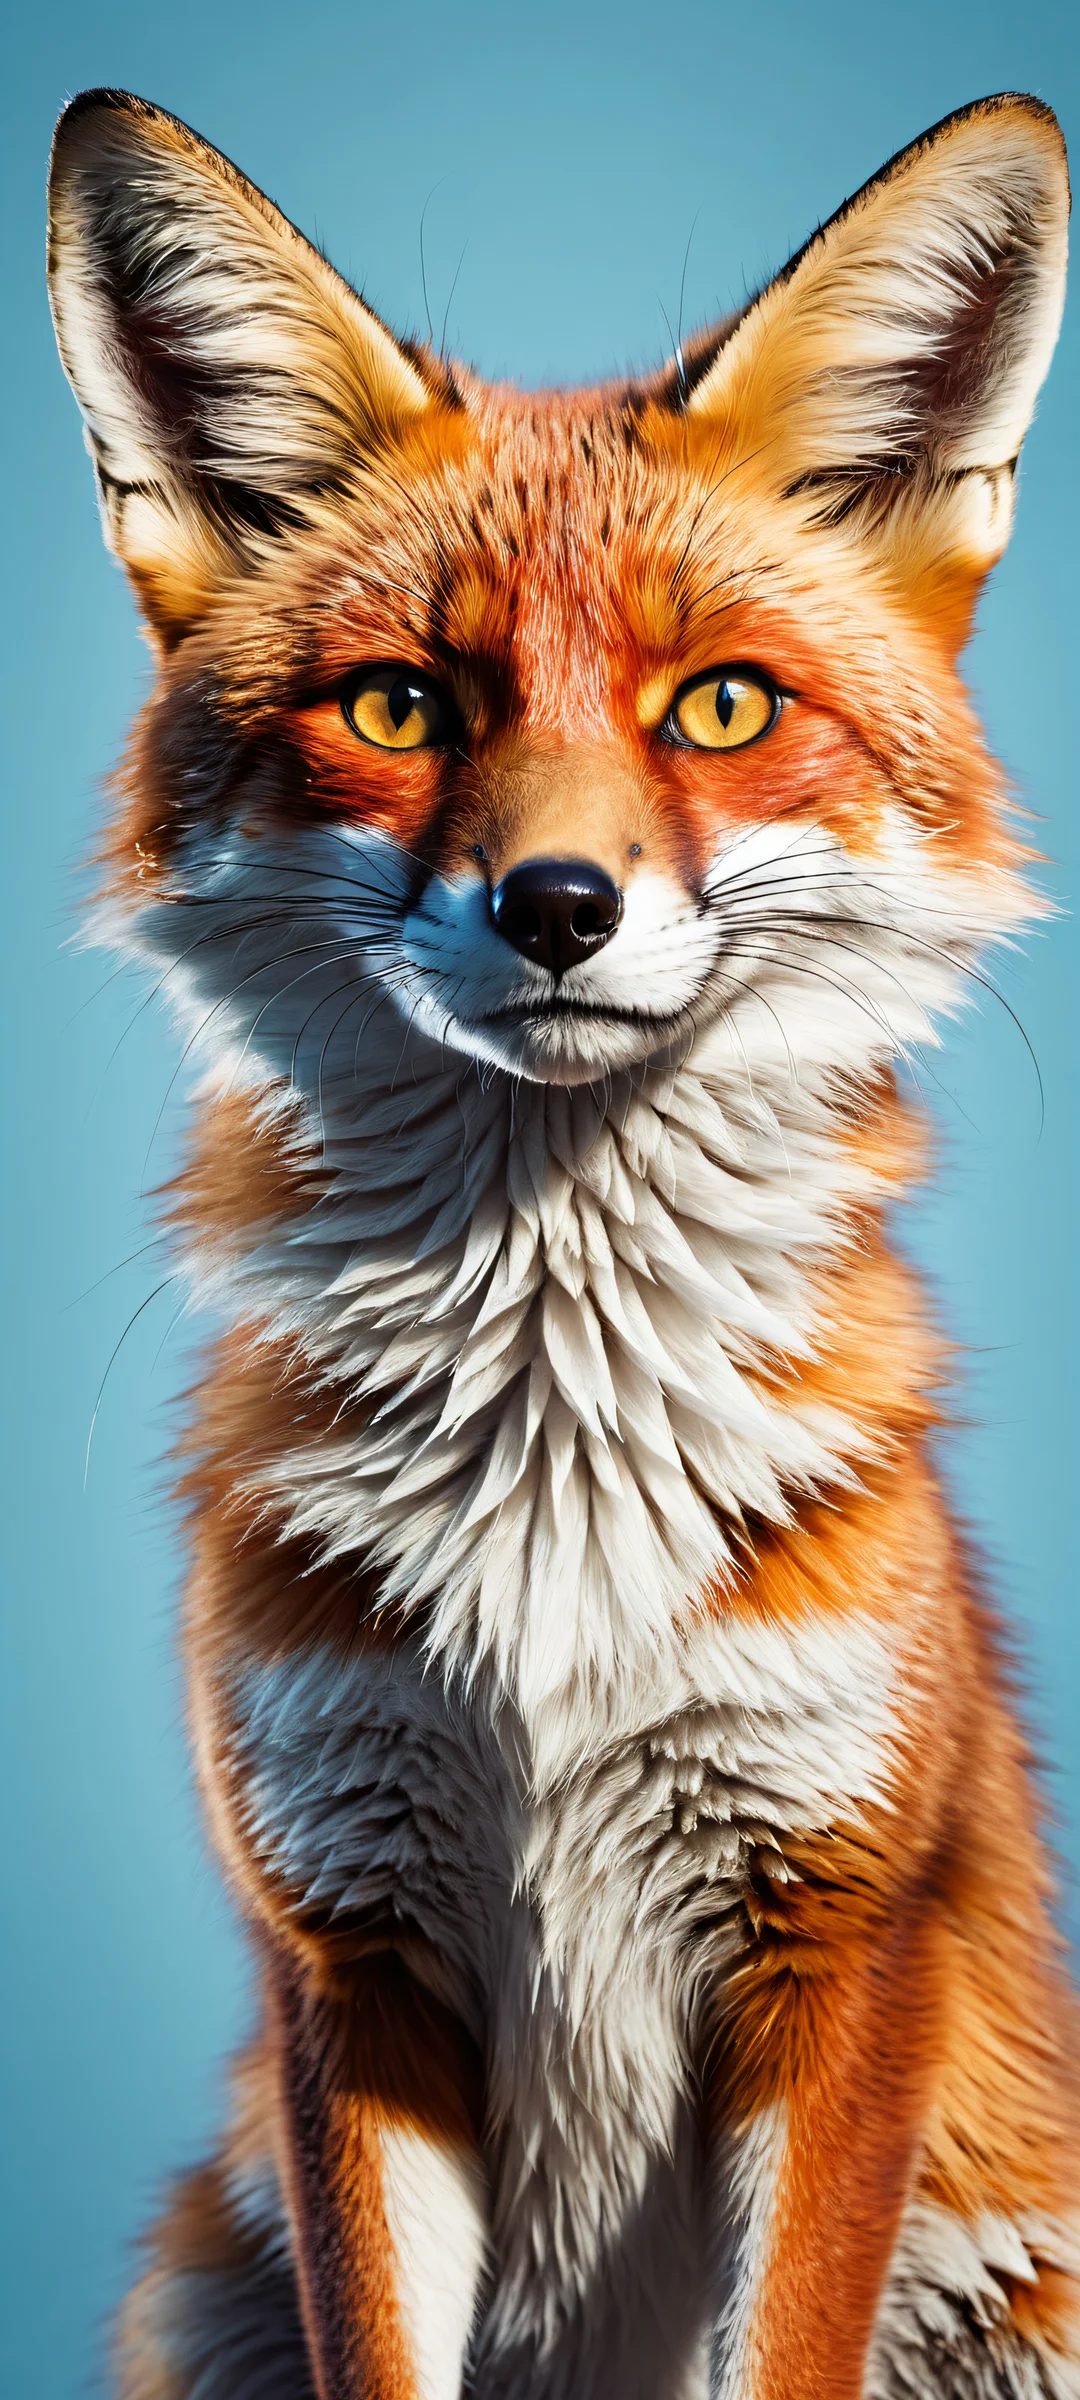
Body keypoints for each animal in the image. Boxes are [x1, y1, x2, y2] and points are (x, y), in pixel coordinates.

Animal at [47, 81, 1078, 2400]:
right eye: (402, 709)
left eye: (719, 708)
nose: (558, 908)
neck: (558, 1496)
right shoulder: (352, 1953)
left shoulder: (835, 1935)